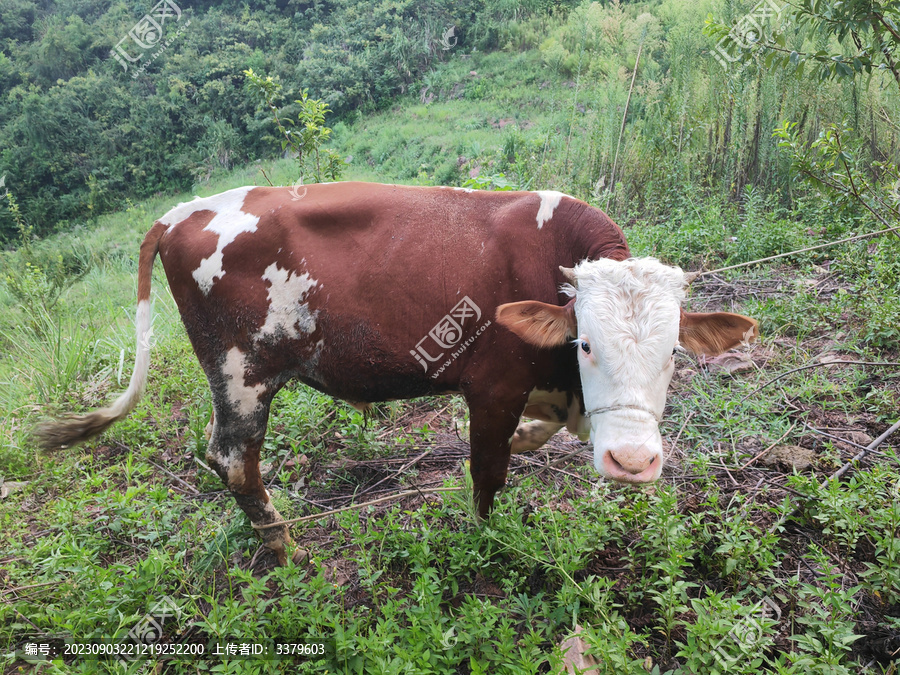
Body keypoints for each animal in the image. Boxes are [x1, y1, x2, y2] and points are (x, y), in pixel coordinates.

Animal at [33, 181, 760, 564]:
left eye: (674, 352)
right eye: (585, 344)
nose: (632, 461)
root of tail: (184, 210)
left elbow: (537, 432)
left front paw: (535, 435)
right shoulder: (493, 386)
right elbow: (488, 471)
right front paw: (488, 537)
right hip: (240, 373)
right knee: (234, 460)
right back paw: (286, 547)